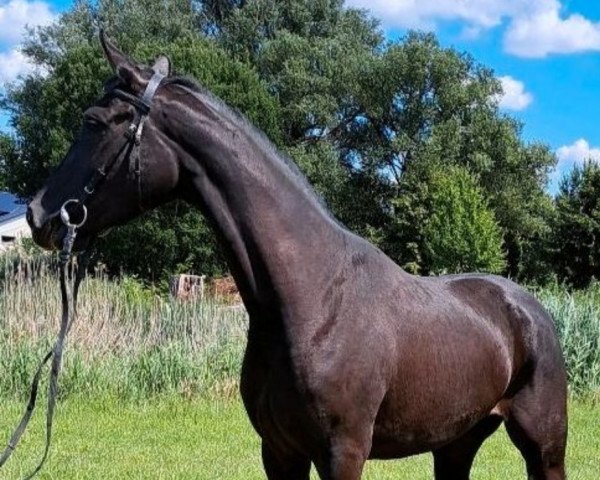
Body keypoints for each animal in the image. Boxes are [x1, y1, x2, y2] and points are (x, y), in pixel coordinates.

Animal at [24, 31, 568, 478]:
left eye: (95, 122)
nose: (38, 215)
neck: (312, 299)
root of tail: (528, 307)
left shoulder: (341, 453)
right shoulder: (280, 451)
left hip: (544, 446)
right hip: (456, 443)